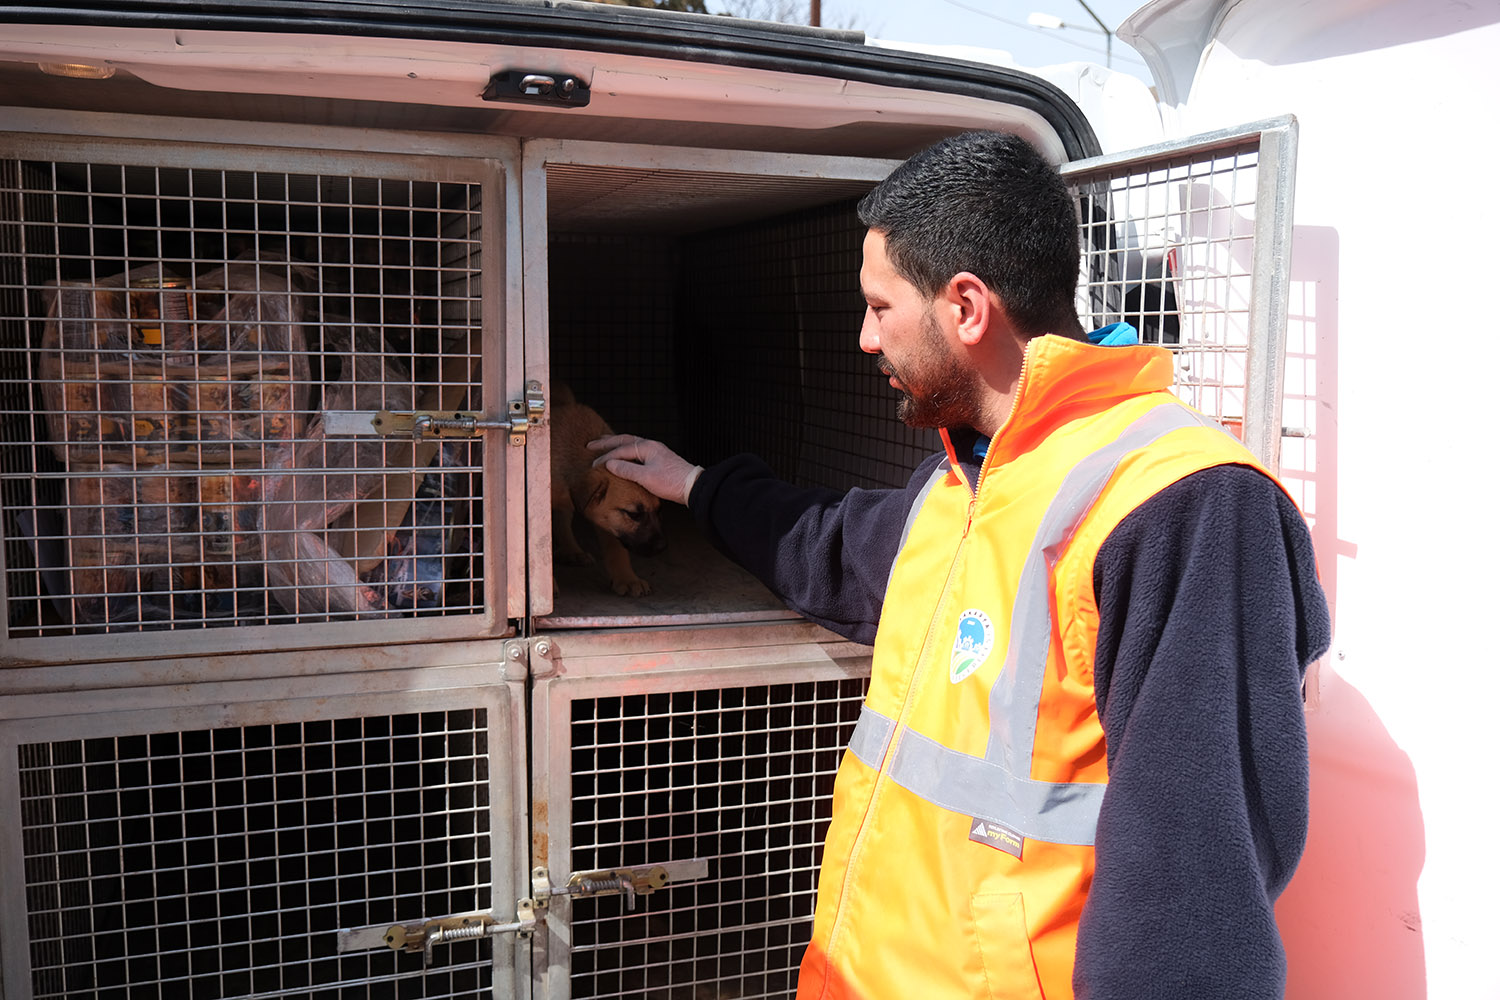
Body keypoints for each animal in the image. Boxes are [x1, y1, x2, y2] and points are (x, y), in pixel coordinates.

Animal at [549, 386, 666, 593]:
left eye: (659, 510)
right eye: (634, 515)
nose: (662, 547)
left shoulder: (607, 518)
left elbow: (616, 548)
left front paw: (628, 579)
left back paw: (572, 551)